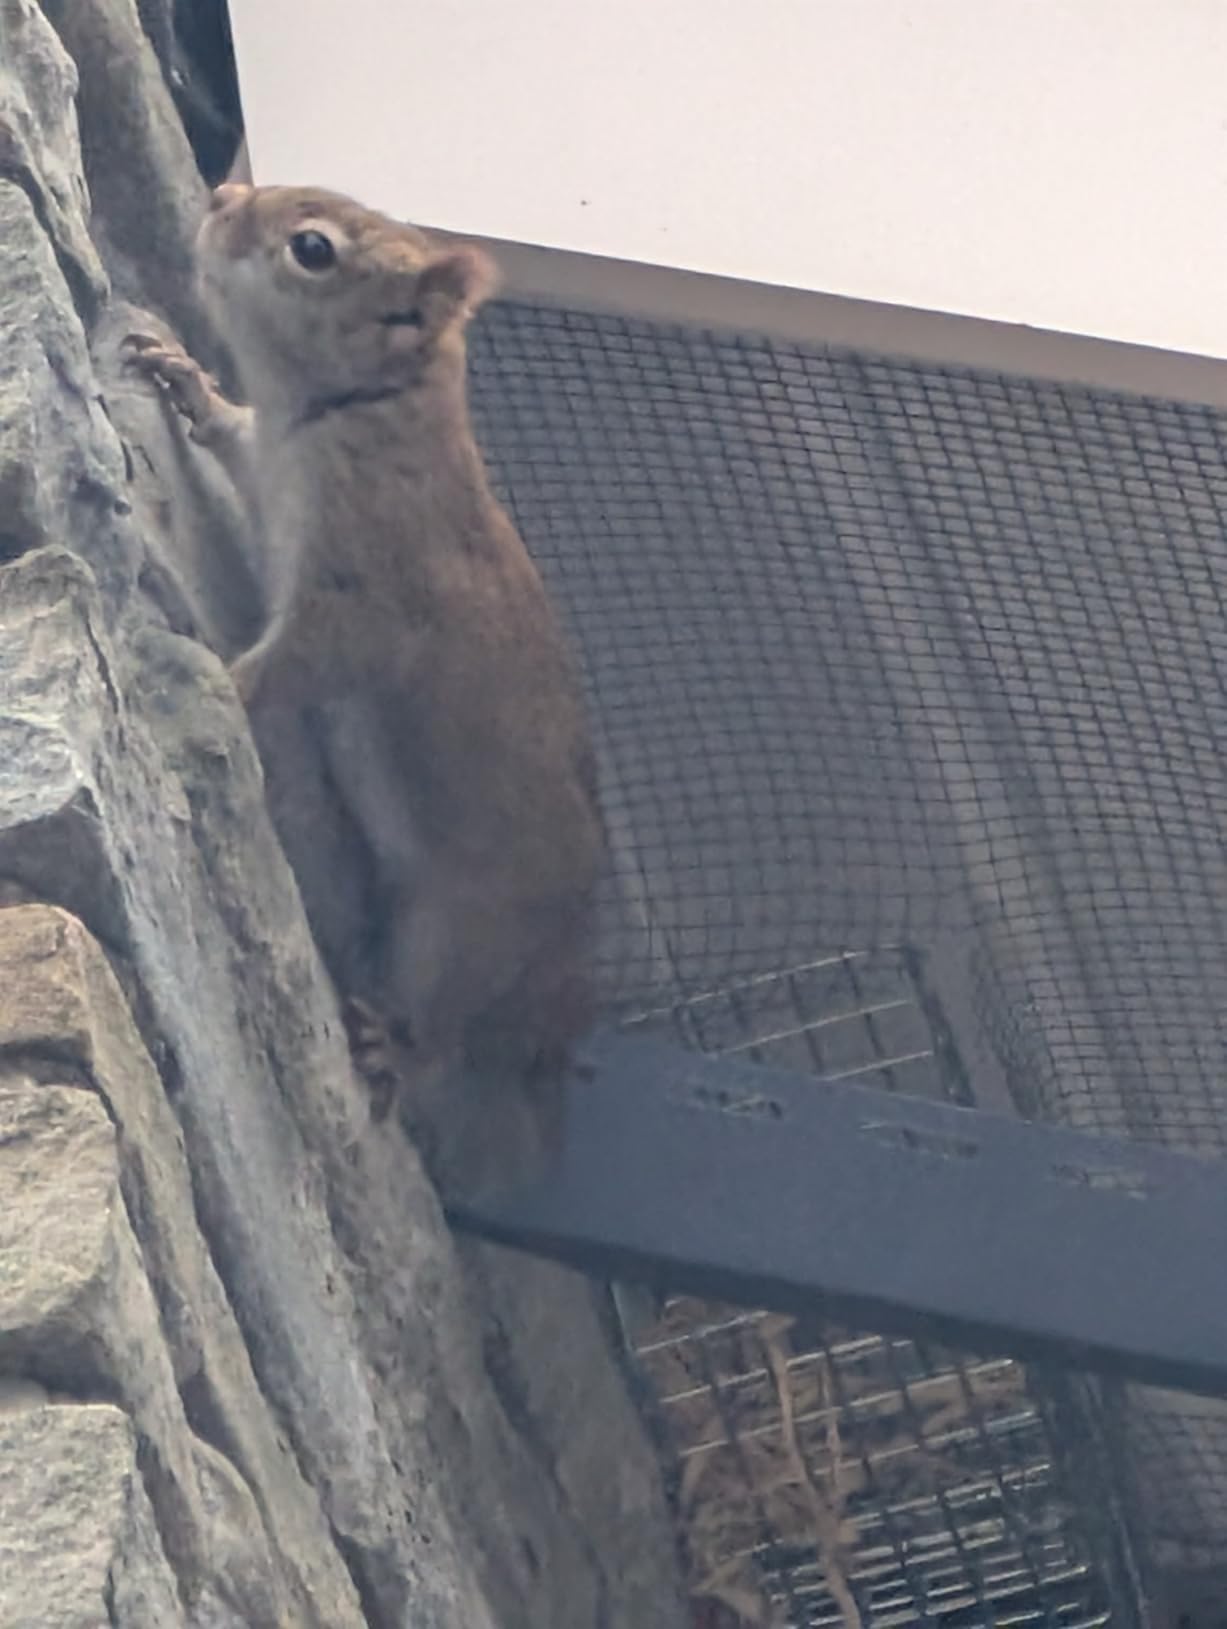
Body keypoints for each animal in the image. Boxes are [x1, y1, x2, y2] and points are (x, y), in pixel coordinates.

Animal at [126, 183, 605, 1146]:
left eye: (312, 250)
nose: (222, 199)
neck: (364, 405)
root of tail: (563, 968)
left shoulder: (369, 589)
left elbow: (306, 661)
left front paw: (227, 680)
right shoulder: (263, 463)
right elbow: (228, 435)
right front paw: (179, 373)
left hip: (455, 933)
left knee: (448, 1028)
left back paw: (397, 1048)